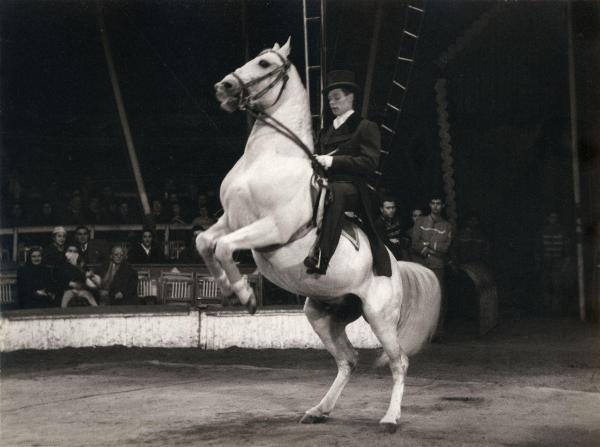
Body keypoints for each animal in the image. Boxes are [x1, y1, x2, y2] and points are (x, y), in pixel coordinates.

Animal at [199, 39, 438, 434]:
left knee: (398, 361)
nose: (224, 87)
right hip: (323, 314)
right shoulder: (231, 220)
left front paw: (246, 295)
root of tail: (397, 265)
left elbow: (224, 248)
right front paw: (227, 289)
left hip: (379, 315)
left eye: (264, 64)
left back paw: (390, 419)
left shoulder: (269, 228)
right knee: (348, 360)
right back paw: (319, 410)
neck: (269, 159)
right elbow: (205, 242)